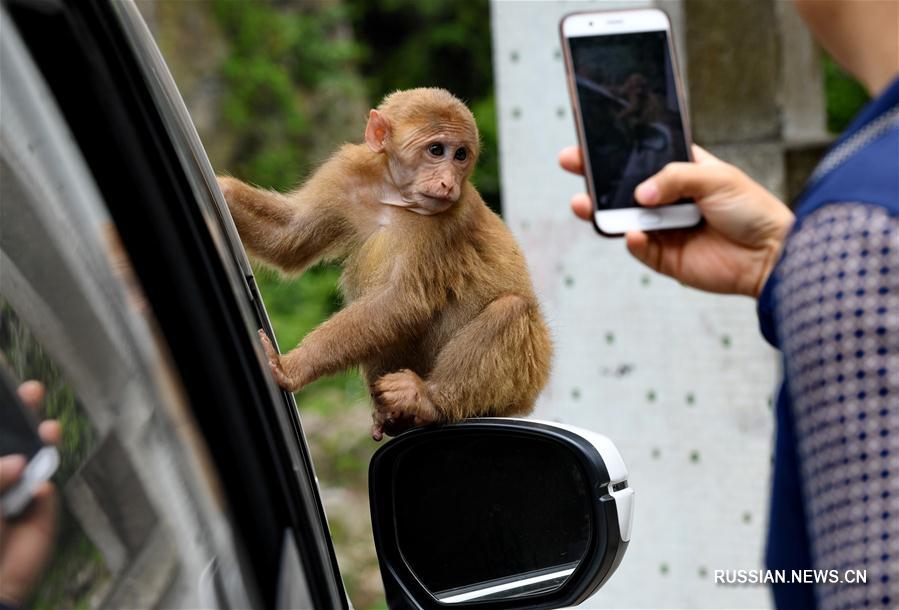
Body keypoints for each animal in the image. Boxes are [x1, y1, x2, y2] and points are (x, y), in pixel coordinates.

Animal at [221, 86, 552, 436]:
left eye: (461, 155)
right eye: (437, 150)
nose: (448, 182)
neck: (394, 195)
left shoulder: (451, 219)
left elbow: (401, 300)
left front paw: (292, 366)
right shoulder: (345, 173)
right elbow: (288, 238)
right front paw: (222, 190)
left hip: (527, 375)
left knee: (512, 308)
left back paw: (427, 400)